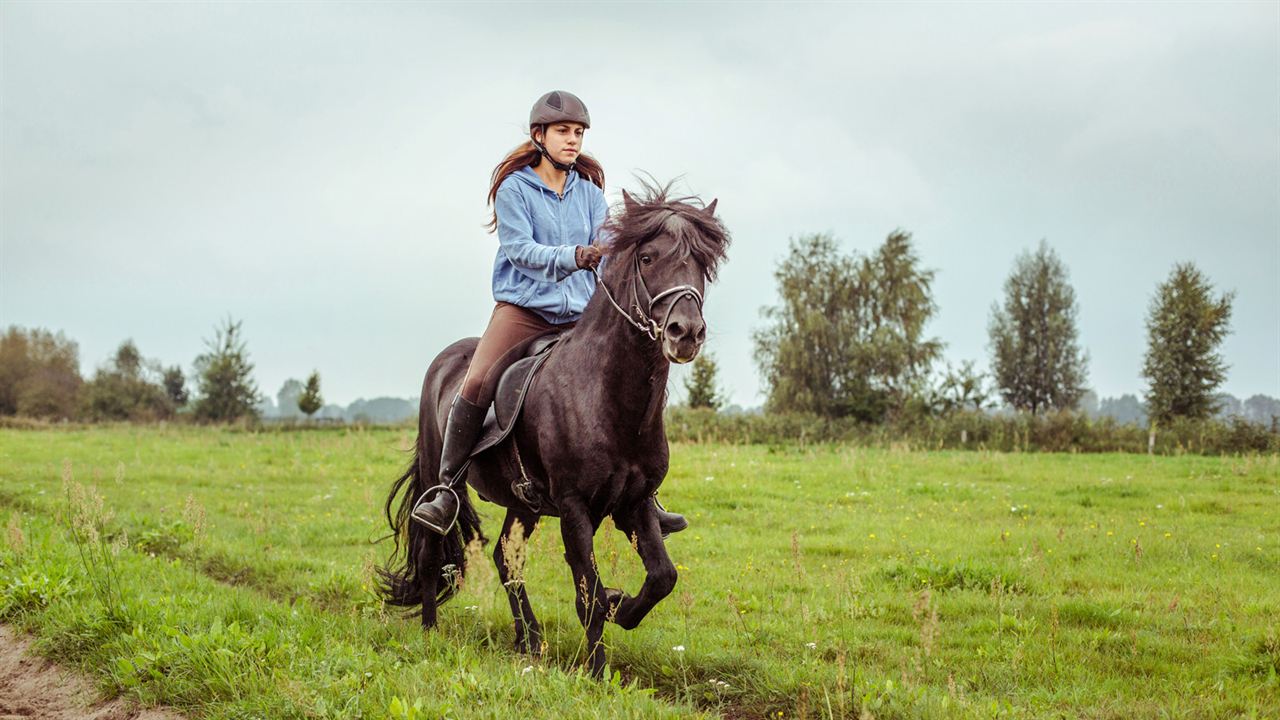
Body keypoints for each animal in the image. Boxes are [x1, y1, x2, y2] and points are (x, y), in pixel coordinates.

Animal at [376, 179, 732, 671]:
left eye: (701, 263)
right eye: (647, 258)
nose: (686, 333)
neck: (607, 399)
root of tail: (446, 360)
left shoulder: (636, 502)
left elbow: (662, 577)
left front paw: (624, 607)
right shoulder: (573, 506)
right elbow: (590, 597)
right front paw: (597, 672)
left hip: (523, 504)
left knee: (505, 559)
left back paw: (529, 639)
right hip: (437, 474)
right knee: (431, 547)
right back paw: (431, 632)